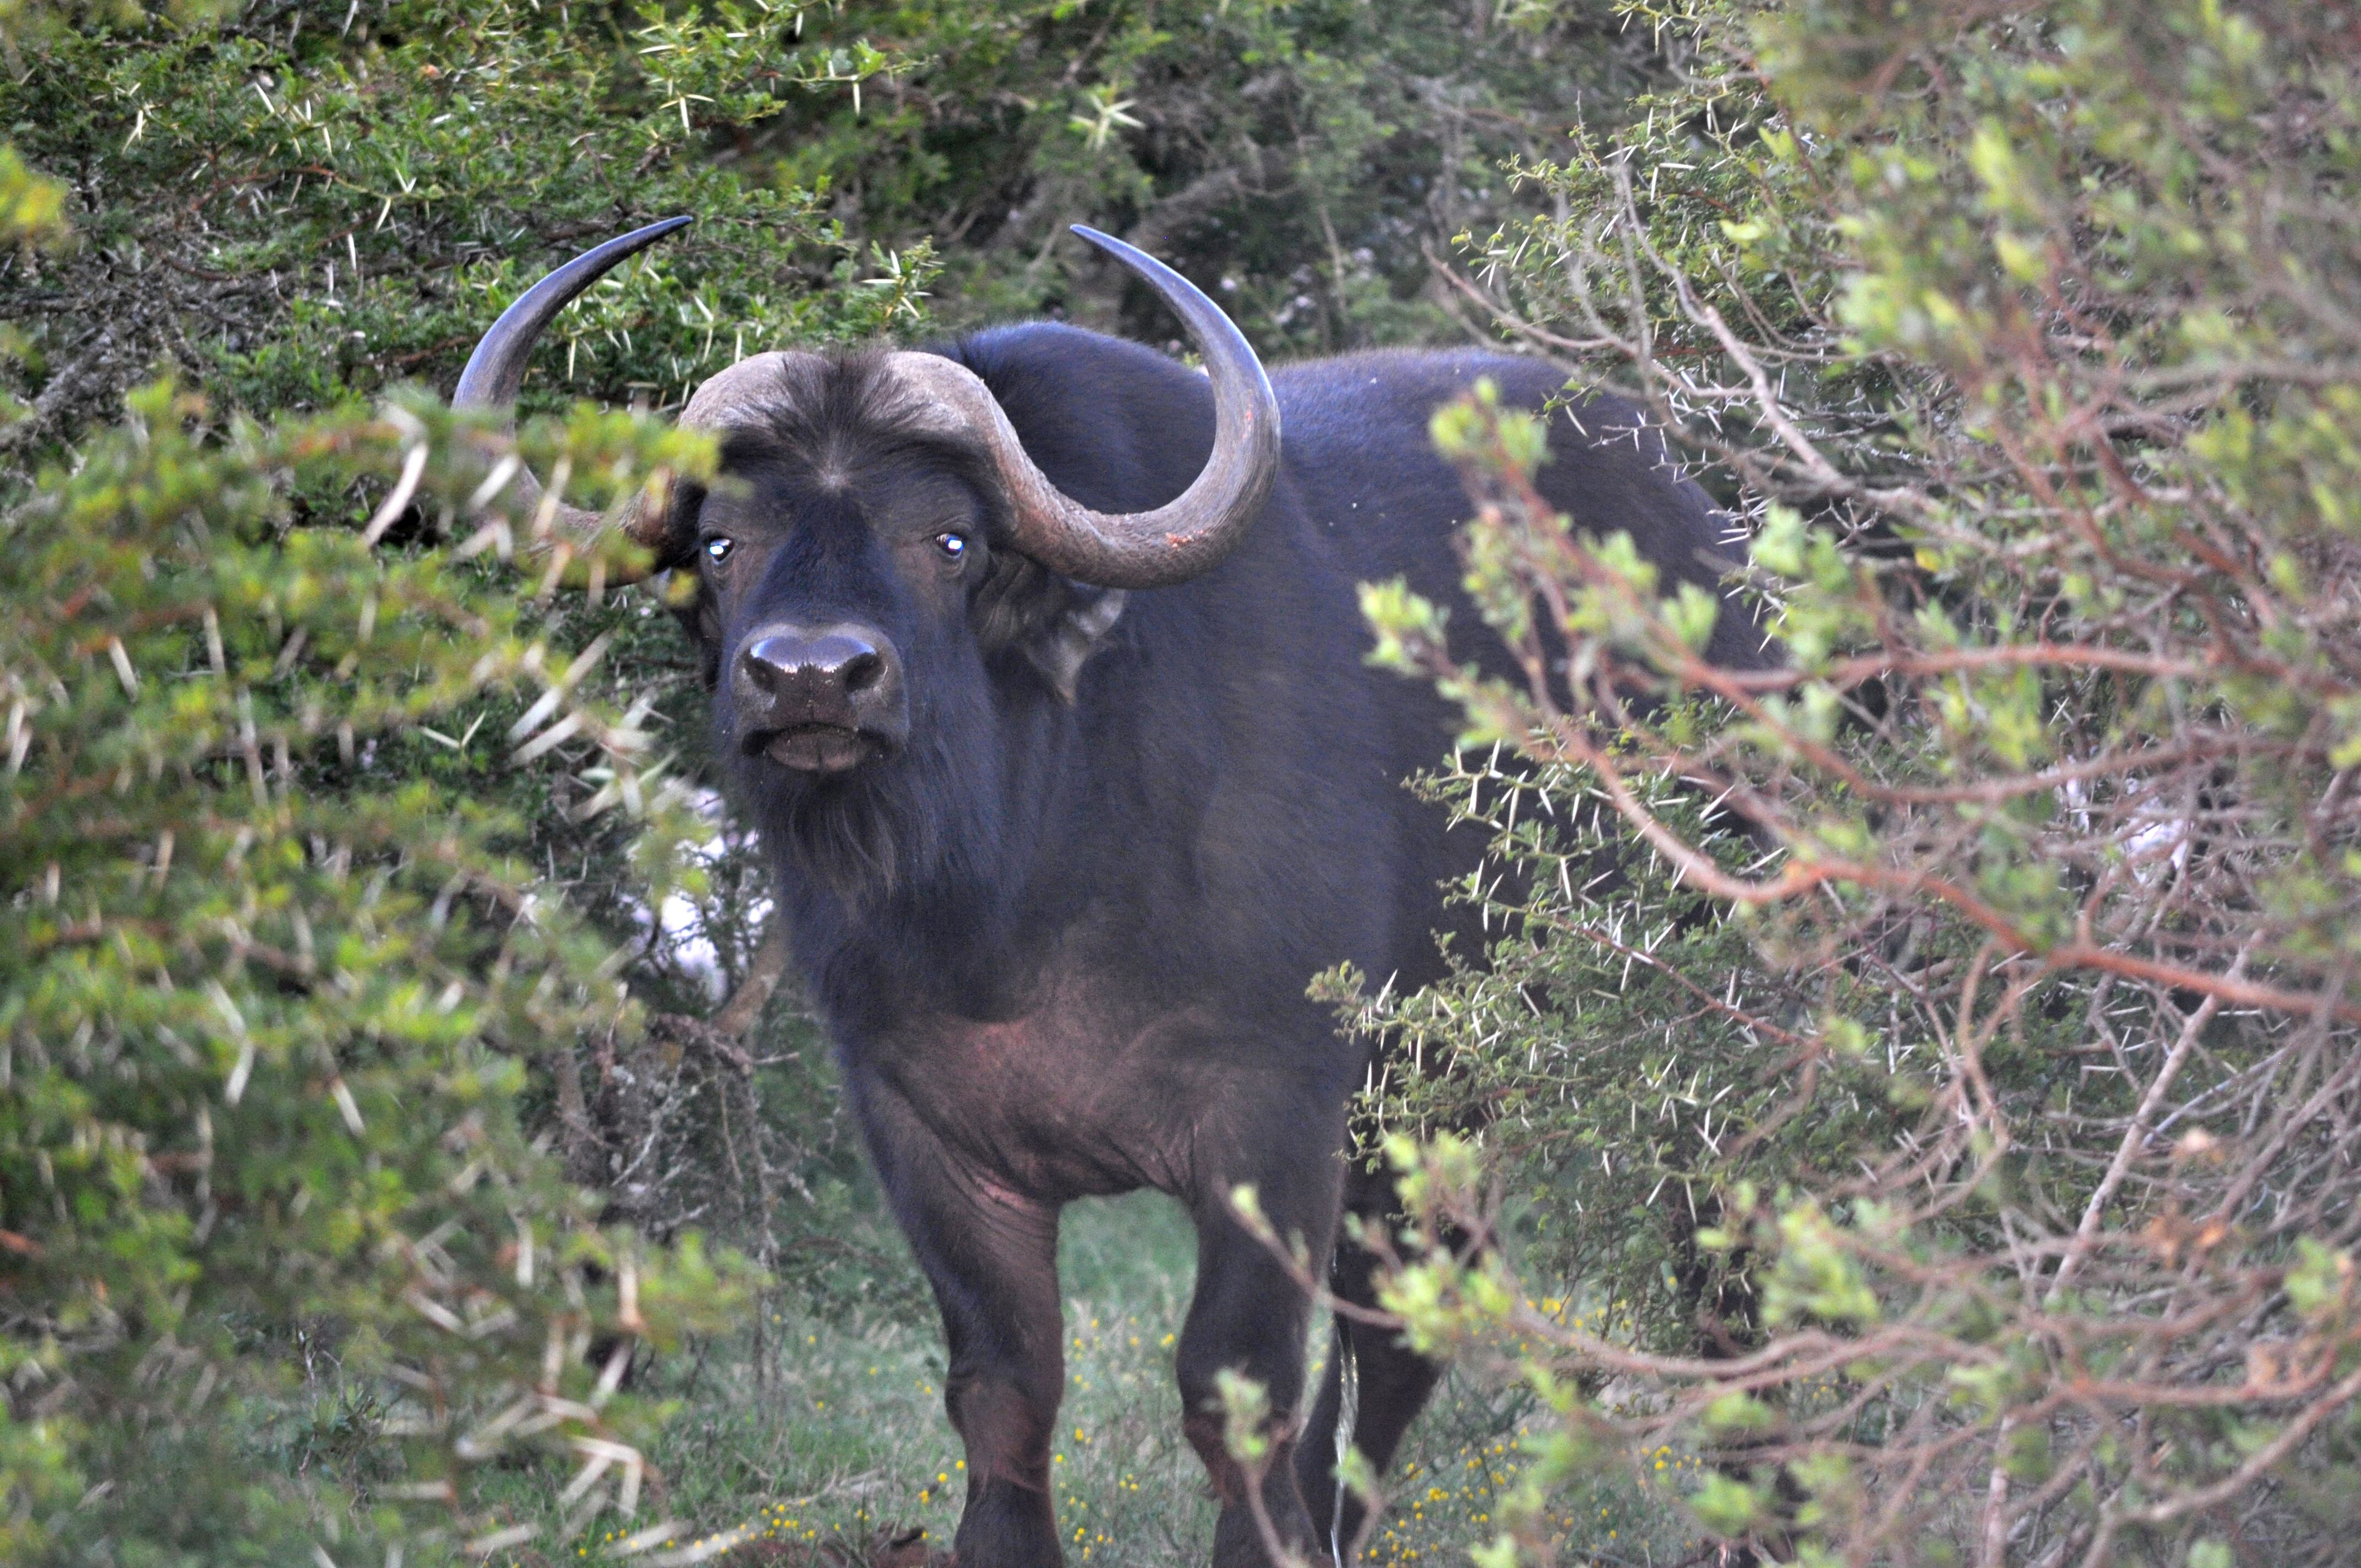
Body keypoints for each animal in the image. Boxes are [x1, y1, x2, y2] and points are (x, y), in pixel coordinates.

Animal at [455, 217, 1764, 1567]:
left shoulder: (1275, 1115)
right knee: (1407, 1322)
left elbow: (1234, 1381)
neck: (1018, 899)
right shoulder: (923, 1135)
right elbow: (1004, 1384)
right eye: (723, 543)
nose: (812, 676)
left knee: (1710, 1266)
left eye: (950, 541)